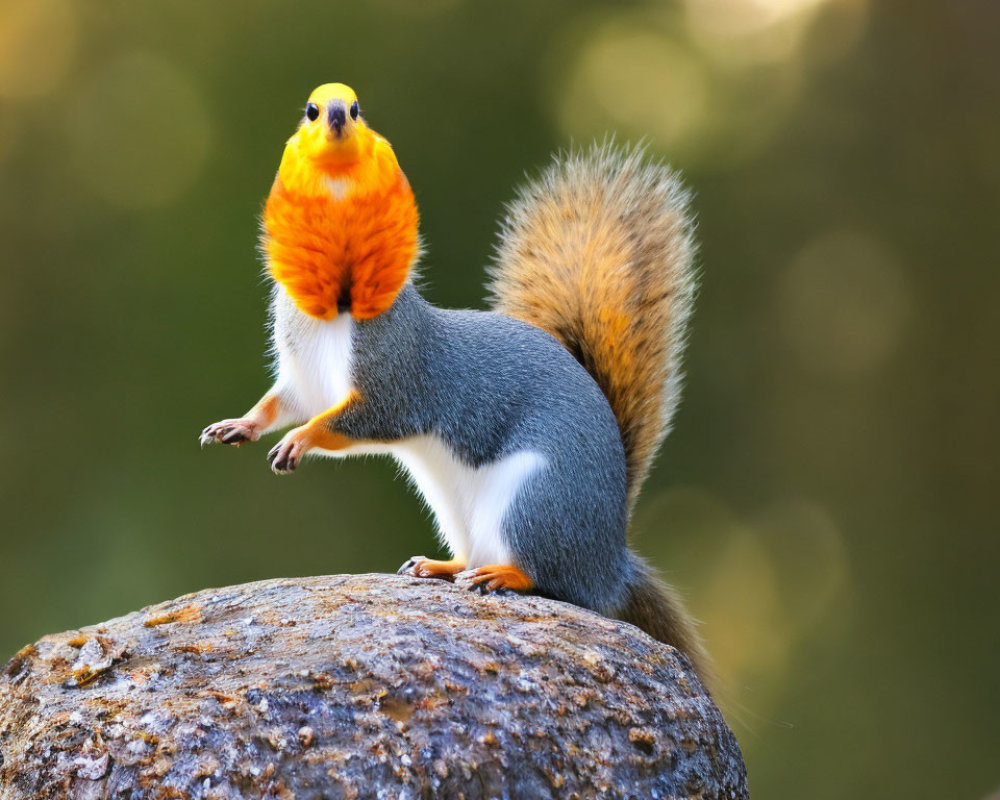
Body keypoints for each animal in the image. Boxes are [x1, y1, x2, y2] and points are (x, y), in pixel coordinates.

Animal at [199, 83, 708, 676]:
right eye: (309, 111)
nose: (335, 119)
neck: (332, 317)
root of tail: (609, 560)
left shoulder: (399, 374)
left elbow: (360, 416)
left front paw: (299, 440)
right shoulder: (306, 377)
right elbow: (285, 402)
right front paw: (242, 424)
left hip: (537, 498)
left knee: (551, 580)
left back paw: (503, 575)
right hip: (456, 508)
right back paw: (442, 566)